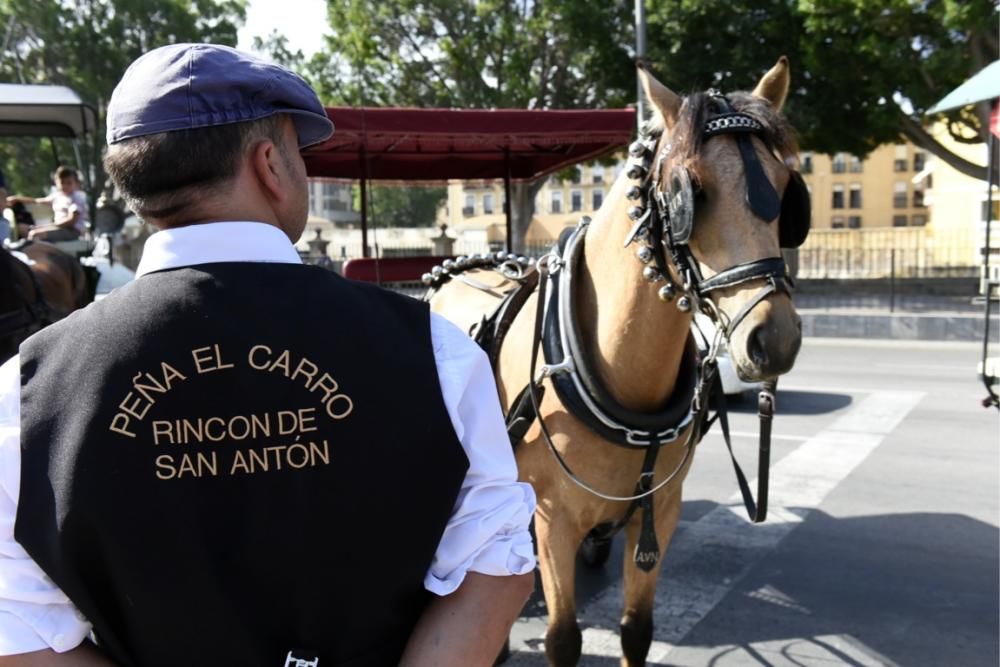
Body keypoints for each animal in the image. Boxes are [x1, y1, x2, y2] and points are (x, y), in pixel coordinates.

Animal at [430, 58, 804, 667]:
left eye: (785, 191)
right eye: (689, 191)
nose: (775, 341)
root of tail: (455, 271)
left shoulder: (660, 512)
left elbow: (636, 629)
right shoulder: (552, 519)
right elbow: (563, 638)